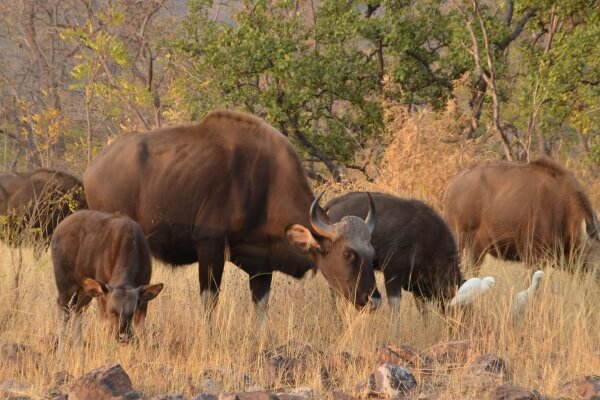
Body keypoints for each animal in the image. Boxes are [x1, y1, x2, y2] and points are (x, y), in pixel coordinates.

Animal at [51, 209, 163, 344]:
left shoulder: (143, 300)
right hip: (65, 284)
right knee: (64, 310)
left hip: (85, 290)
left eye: (131, 313)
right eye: (113, 312)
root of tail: (58, 229)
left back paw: (79, 347)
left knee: (78, 309)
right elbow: (106, 326)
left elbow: (141, 330)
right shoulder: (102, 299)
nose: (123, 337)